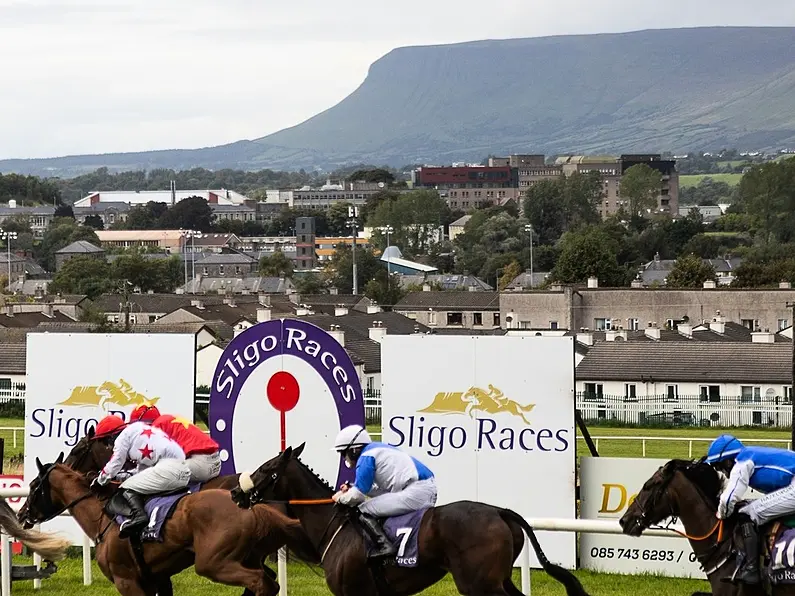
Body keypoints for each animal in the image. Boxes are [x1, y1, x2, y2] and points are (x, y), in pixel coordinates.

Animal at [19, 452, 318, 596]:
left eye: (34, 486)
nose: (22, 515)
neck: (103, 518)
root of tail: (252, 505)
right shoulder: (157, 579)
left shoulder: (127, 581)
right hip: (246, 557)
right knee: (268, 582)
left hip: (213, 562)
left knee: (260, 583)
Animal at [230, 444, 592, 596]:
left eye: (266, 468)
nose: (235, 492)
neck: (336, 527)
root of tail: (500, 511)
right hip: (498, 578)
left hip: (480, 584)